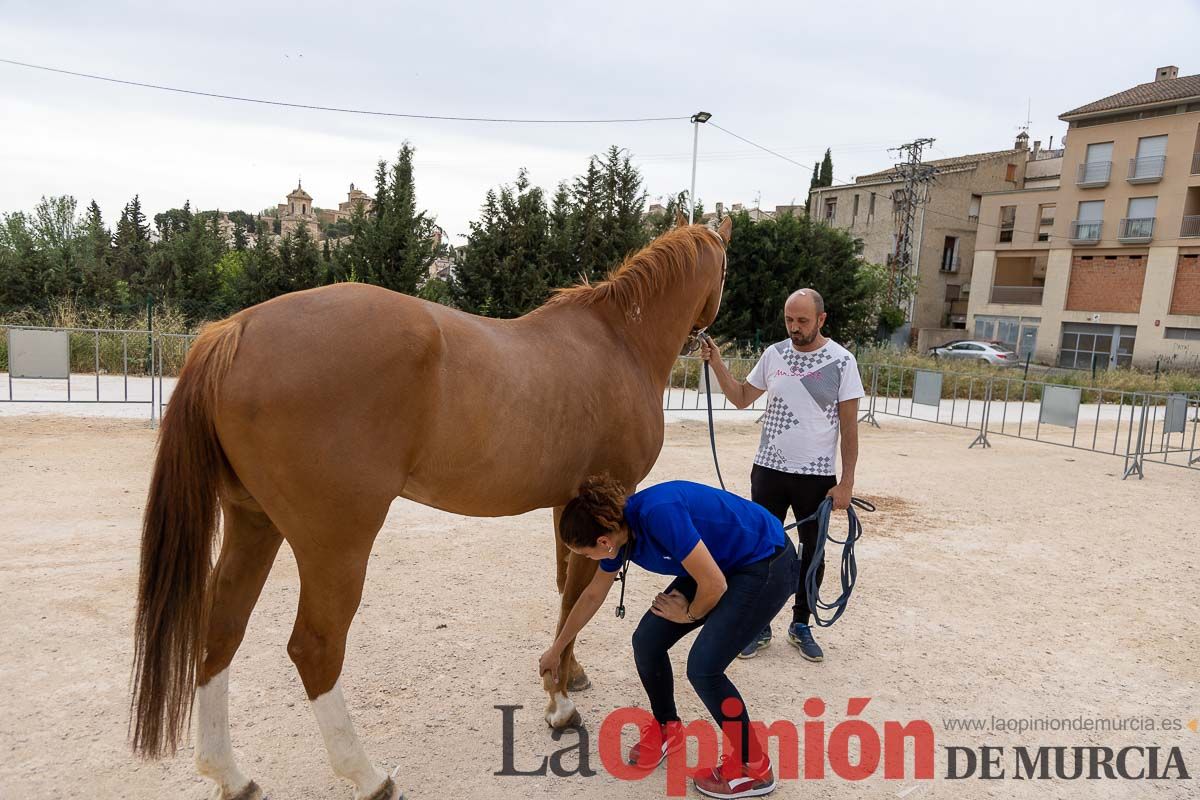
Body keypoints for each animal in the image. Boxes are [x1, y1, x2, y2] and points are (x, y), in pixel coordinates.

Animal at [131, 219, 729, 800]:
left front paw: (568, 674)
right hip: (335, 544)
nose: (710, 333)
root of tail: (238, 329)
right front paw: (559, 704)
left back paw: (230, 775)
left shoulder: (567, 507)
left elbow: (568, 594)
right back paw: (368, 776)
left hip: (254, 523)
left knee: (221, 628)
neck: (619, 341)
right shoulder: (606, 500)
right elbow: (576, 597)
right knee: (315, 648)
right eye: (726, 267)